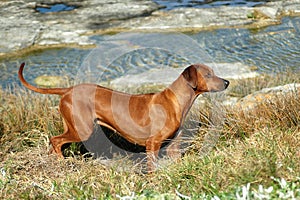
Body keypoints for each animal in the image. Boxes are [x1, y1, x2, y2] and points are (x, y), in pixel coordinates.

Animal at [18, 63, 230, 172]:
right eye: (208, 75)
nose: (227, 82)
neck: (176, 100)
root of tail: (68, 90)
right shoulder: (152, 144)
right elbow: (152, 167)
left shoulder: (173, 146)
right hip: (82, 130)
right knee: (55, 140)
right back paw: (62, 163)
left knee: (54, 143)